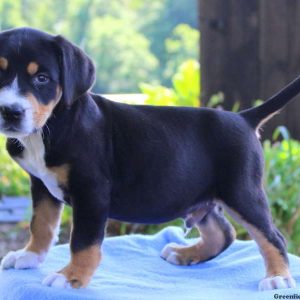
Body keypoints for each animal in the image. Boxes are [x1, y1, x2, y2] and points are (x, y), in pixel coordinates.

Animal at [0, 27, 298, 290]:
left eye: (41, 78)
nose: (10, 111)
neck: (51, 126)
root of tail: (244, 117)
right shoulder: (41, 185)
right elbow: (41, 224)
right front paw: (29, 256)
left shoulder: (91, 191)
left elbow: (83, 241)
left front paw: (71, 277)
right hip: (201, 195)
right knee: (224, 233)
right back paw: (185, 254)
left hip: (241, 191)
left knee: (273, 237)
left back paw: (277, 277)